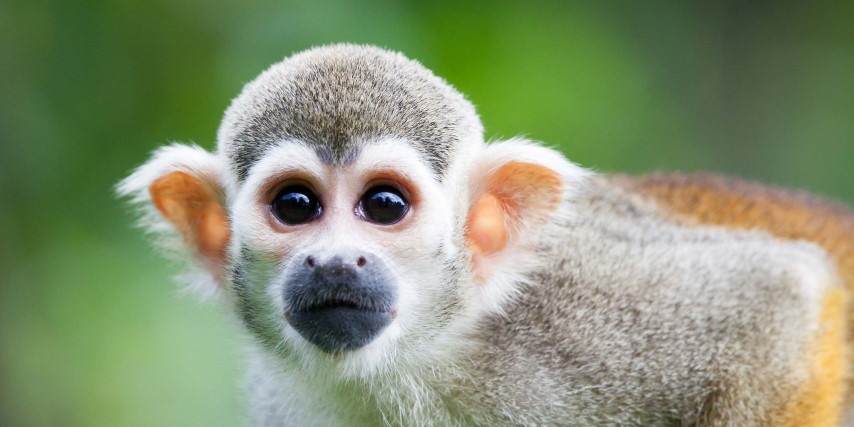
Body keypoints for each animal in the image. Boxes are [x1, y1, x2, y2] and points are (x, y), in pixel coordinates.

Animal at [118, 44, 854, 426]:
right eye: (295, 206)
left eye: (384, 205)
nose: (333, 262)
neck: (420, 359)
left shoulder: (580, 312)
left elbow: (780, 294)